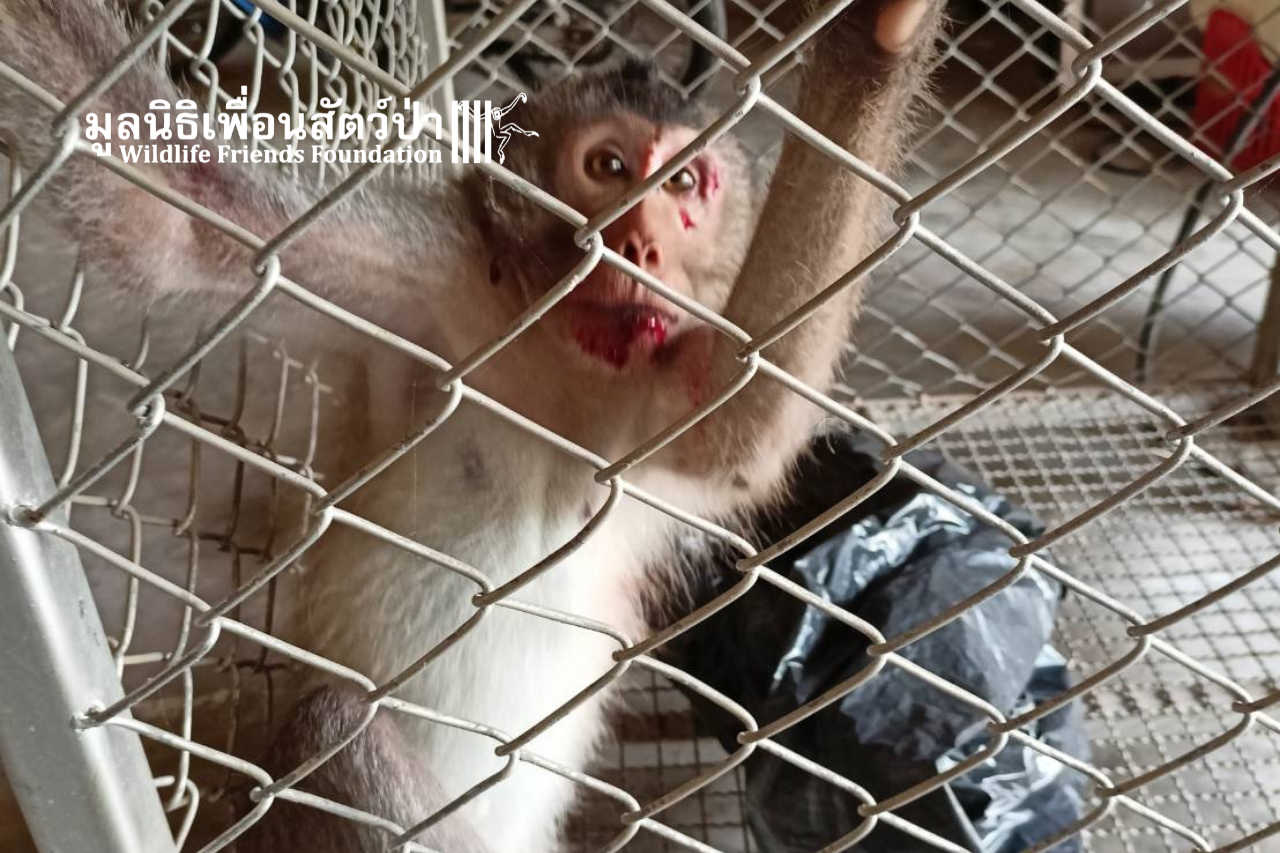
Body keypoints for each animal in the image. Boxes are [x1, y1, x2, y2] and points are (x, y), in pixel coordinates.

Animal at [0, 0, 944, 850]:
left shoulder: (654, 369)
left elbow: (734, 435)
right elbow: (168, 208)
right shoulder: (430, 263)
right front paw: (877, 38)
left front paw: (879, 45)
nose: (640, 248)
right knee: (334, 728)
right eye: (608, 164)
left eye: (682, 183)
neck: (555, 336)